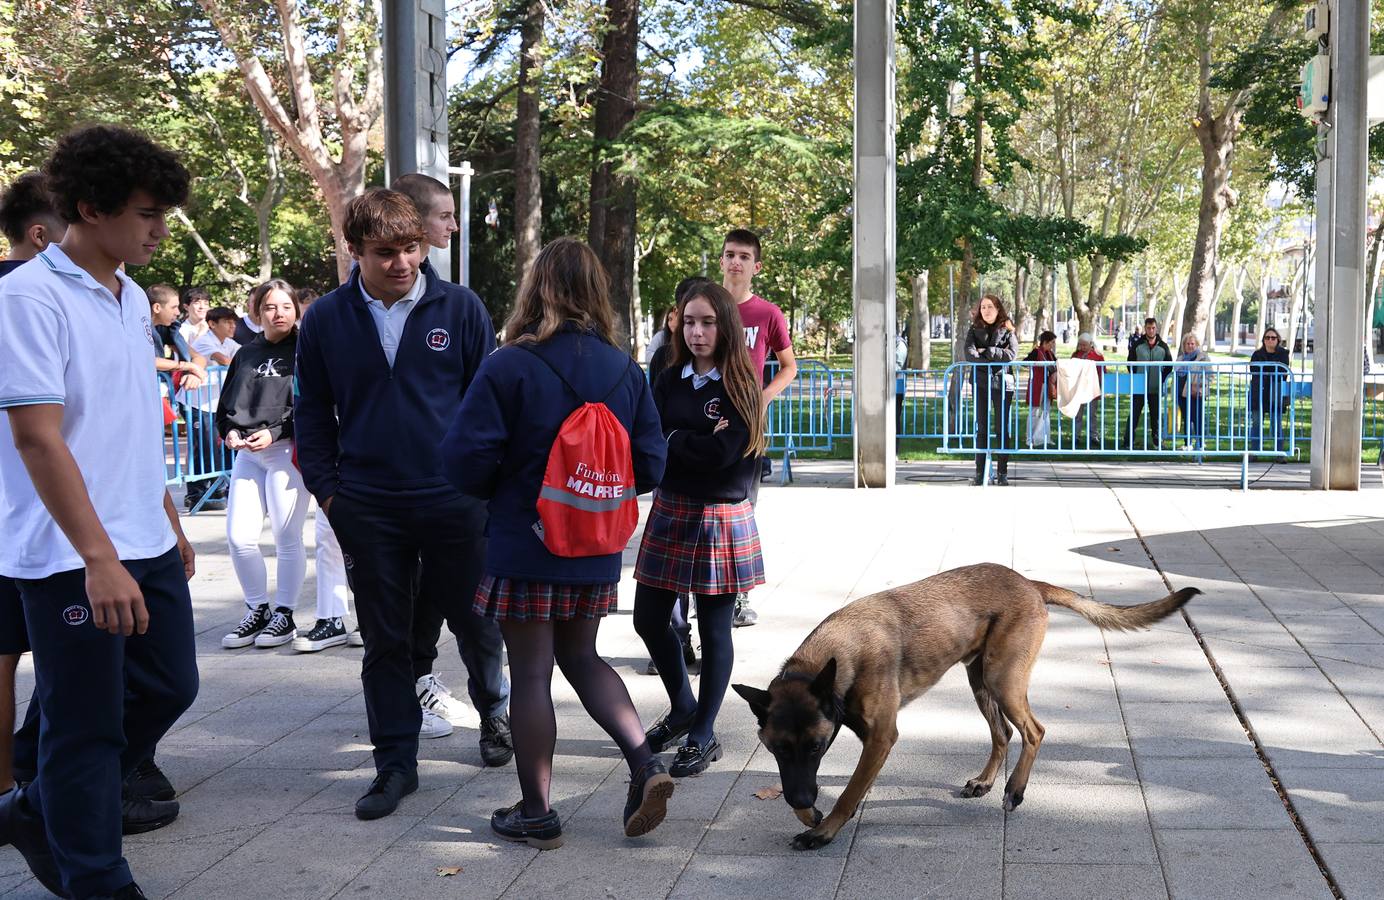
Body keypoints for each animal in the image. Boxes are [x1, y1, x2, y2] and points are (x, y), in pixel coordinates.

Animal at [730, 559, 1195, 847]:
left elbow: (849, 794)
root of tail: (1029, 583)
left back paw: (1014, 790)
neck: (835, 655)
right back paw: (986, 782)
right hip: (980, 681)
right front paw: (809, 817)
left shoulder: (880, 738)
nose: (800, 800)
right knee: (1003, 733)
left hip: (1002, 680)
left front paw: (822, 831)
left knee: (1033, 731)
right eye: (775, 749)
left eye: (814, 746)